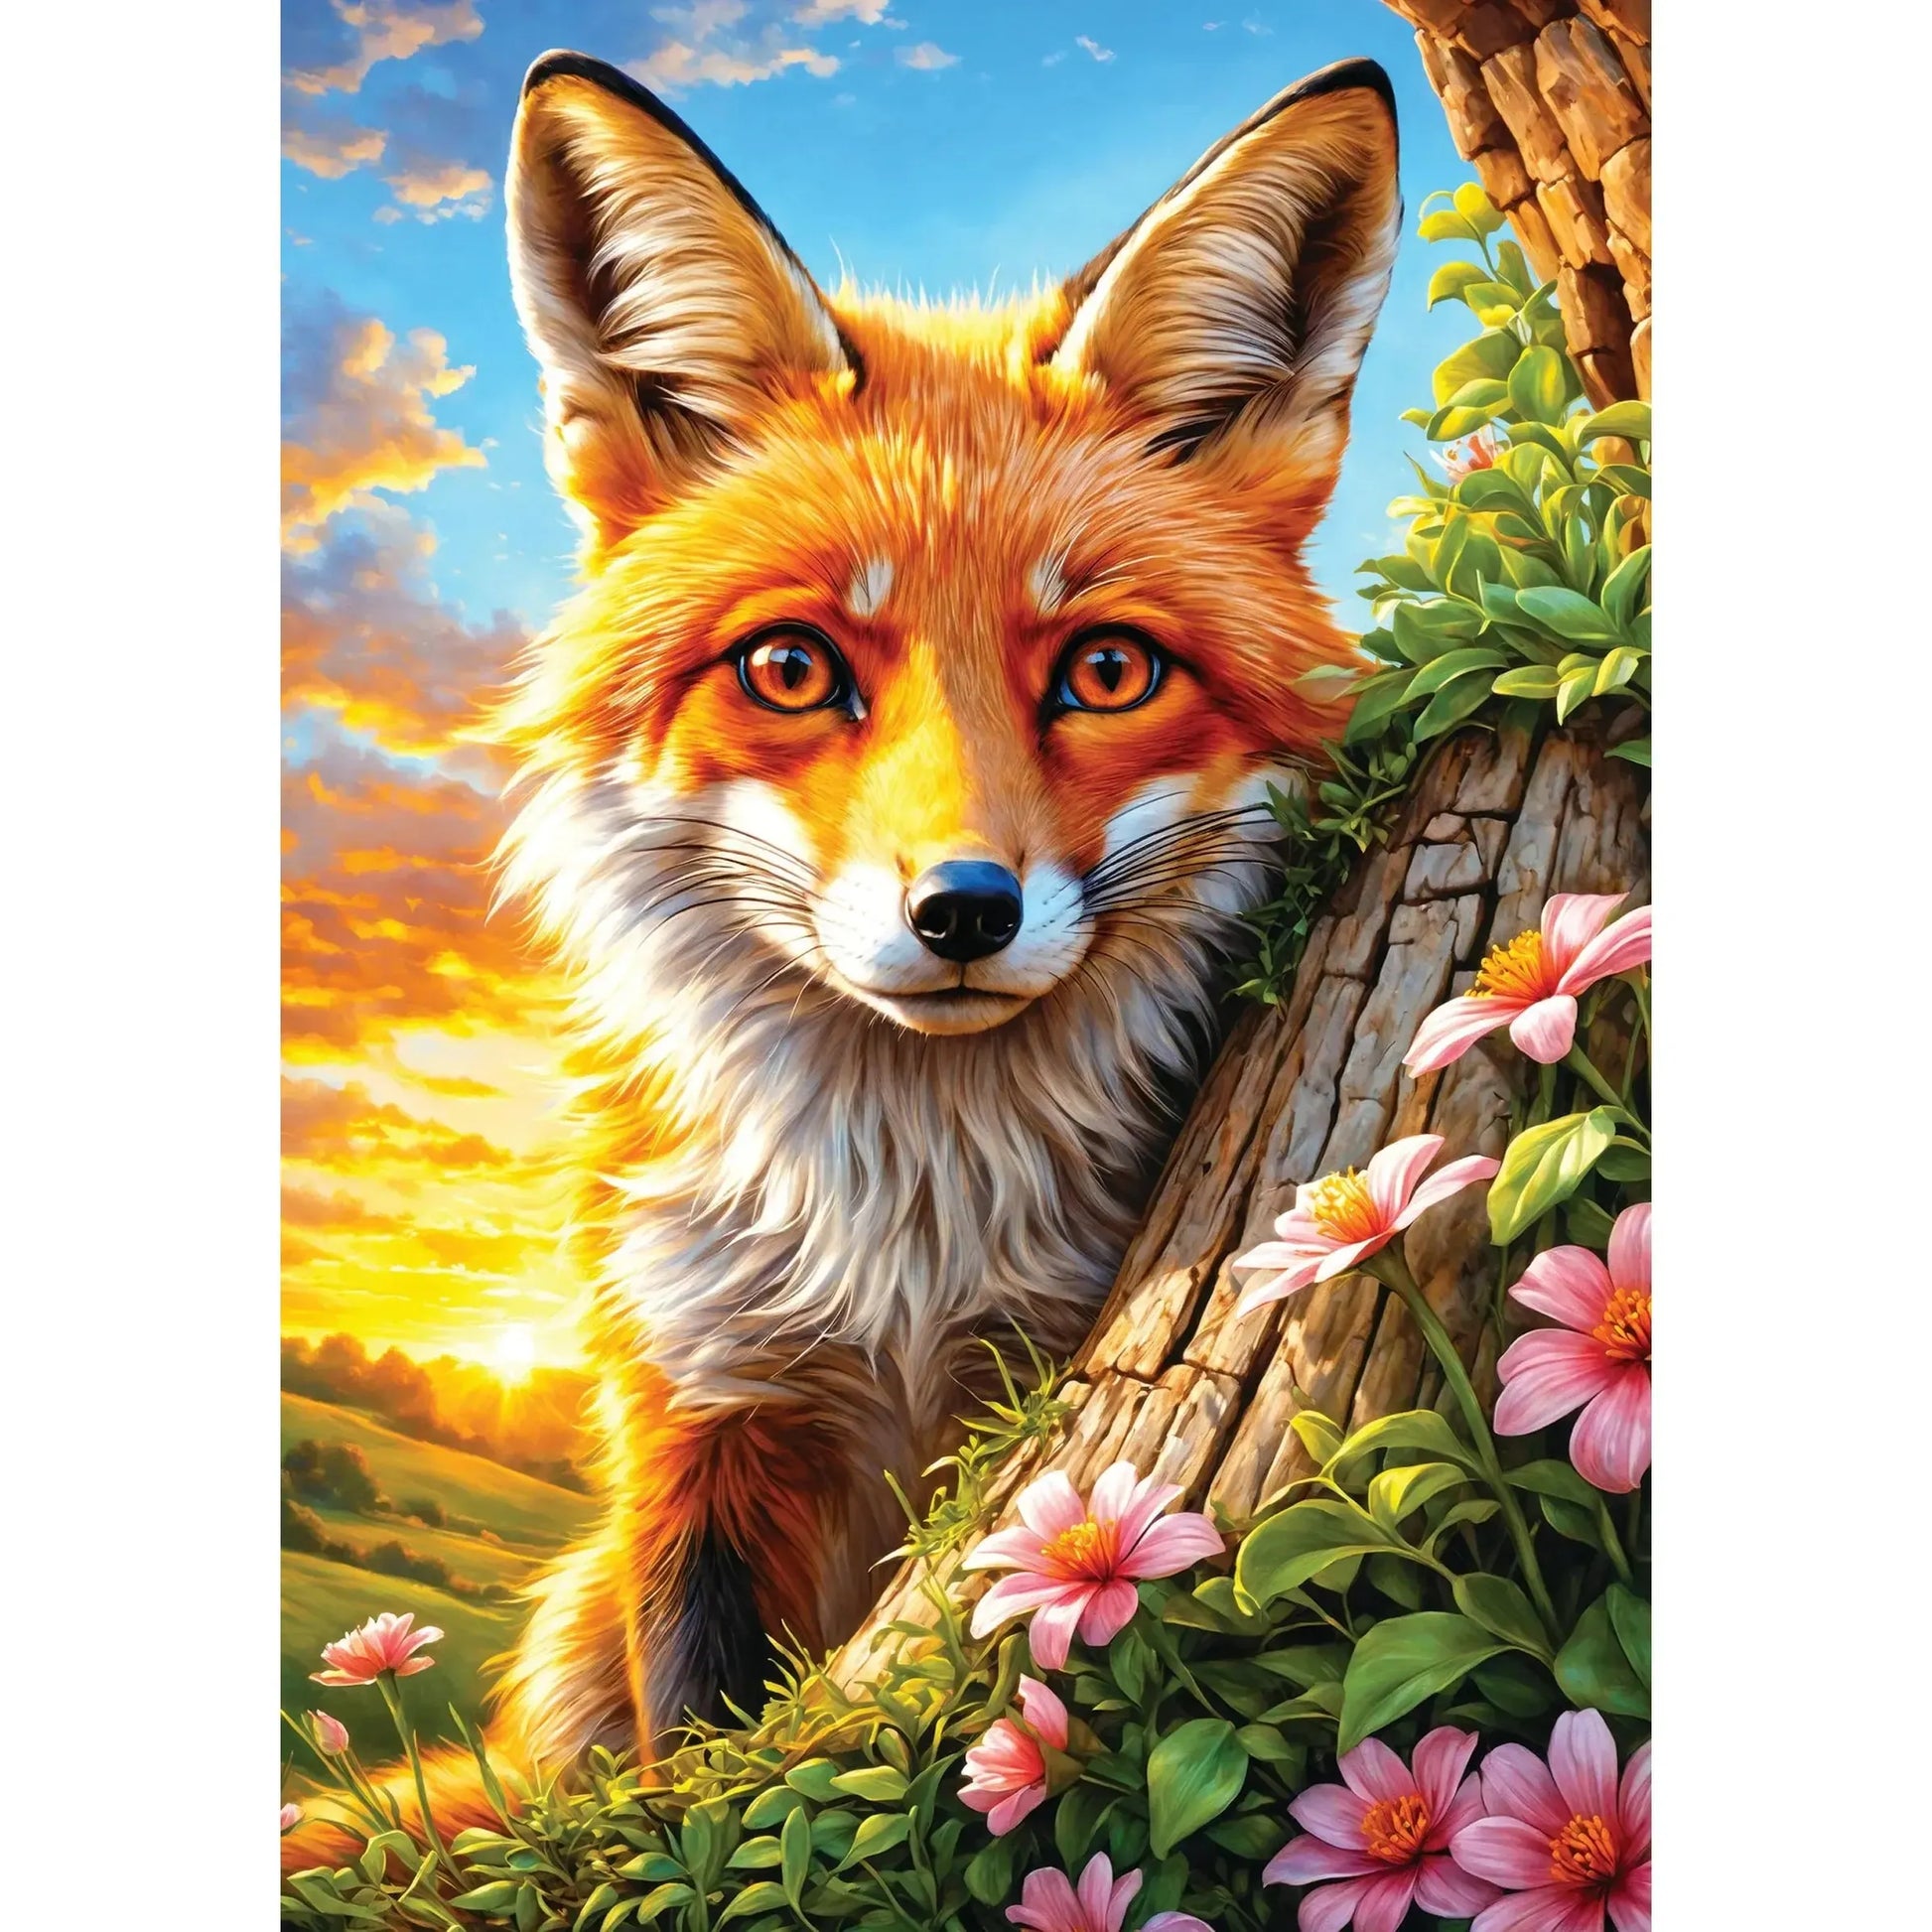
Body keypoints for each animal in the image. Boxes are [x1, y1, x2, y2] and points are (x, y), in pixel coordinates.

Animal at [285, 47, 1399, 1866]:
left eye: (1105, 668)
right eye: (793, 668)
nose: (960, 911)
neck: (908, 1245)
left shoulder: (1022, 1391)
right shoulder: (700, 1423)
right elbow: (697, 1773)